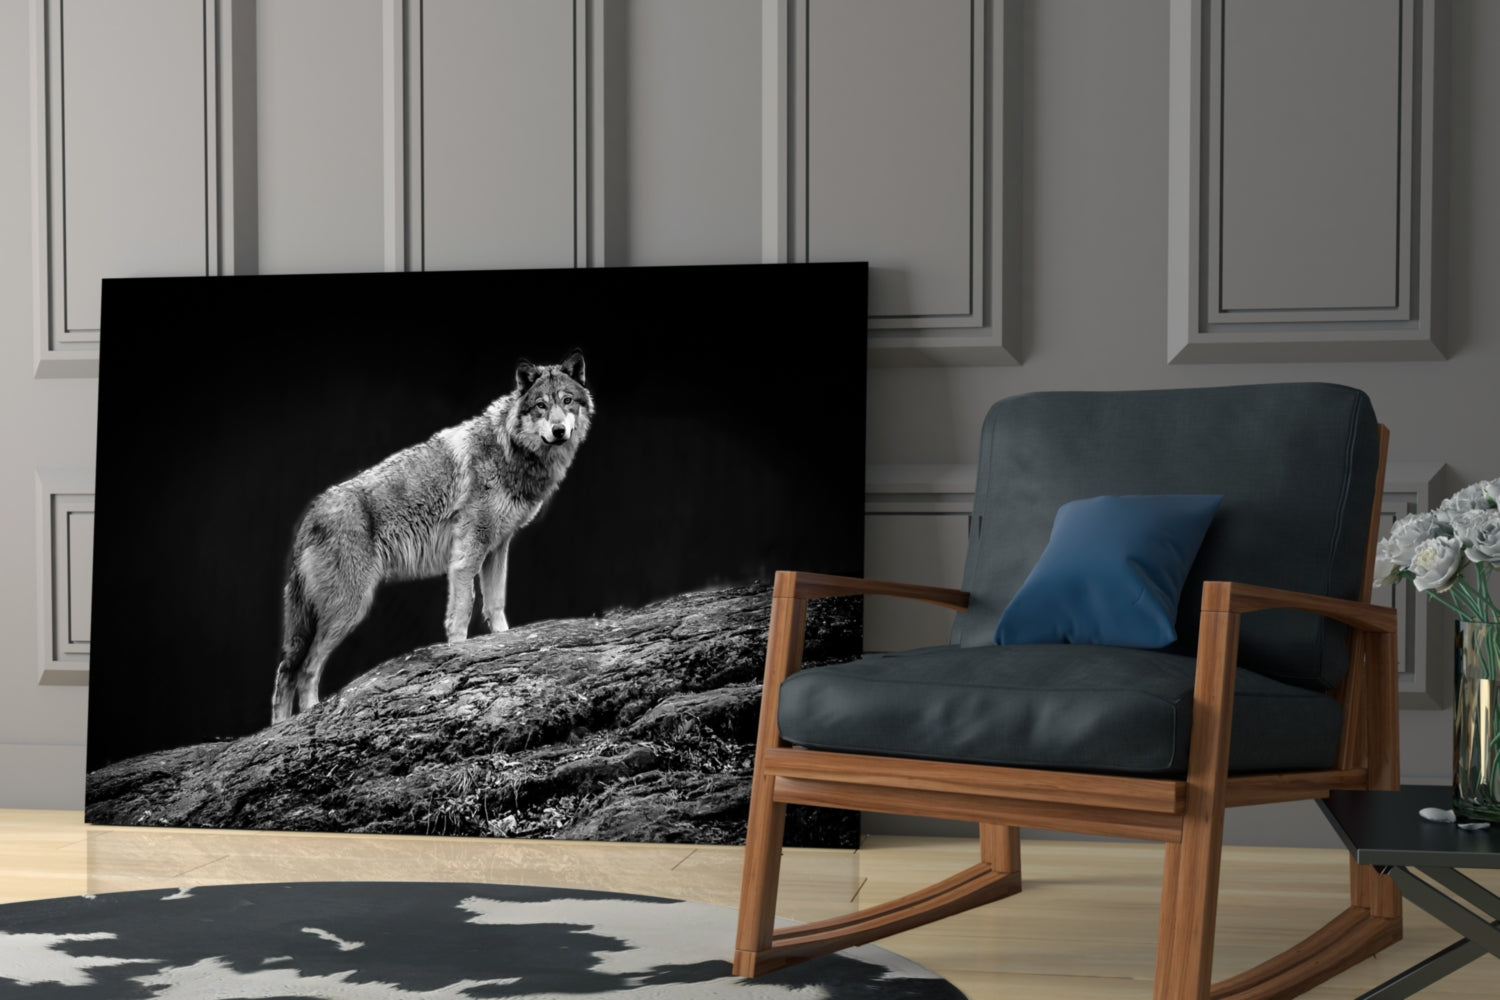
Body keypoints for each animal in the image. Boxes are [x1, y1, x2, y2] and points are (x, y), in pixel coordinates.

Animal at [270, 350, 593, 722]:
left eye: (567, 401)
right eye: (541, 405)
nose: (558, 430)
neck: (509, 449)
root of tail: (310, 515)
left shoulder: (497, 548)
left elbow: (496, 605)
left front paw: (504, 643)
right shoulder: (468, 554)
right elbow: (462, 611)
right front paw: (460, 653)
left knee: (286, 671)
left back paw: (279, 729)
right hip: (349, 608)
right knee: (303, 669)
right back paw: (302, 720)